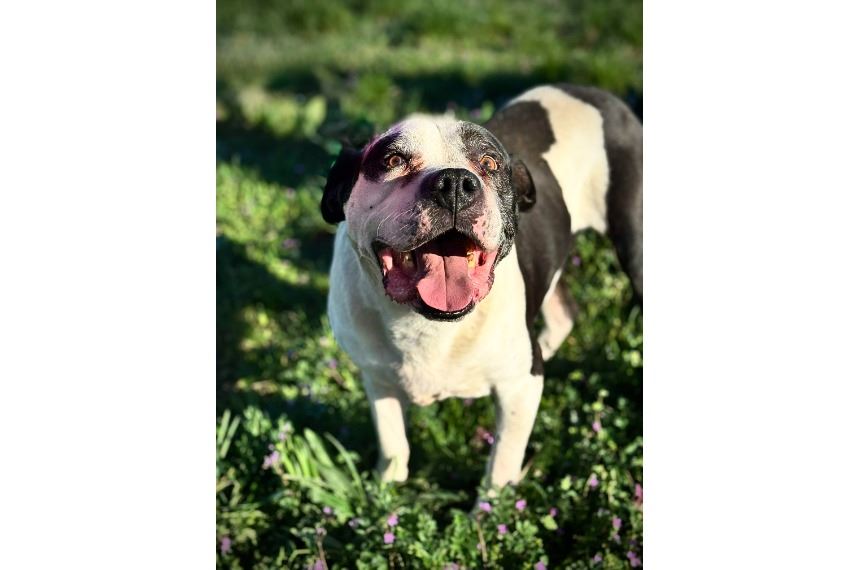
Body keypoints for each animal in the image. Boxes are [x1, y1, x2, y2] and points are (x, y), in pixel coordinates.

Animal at [320, 84, 642, 488]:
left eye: (489, 163)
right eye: (393, 159)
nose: (455, 183)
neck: (427, 325)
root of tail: (600, 94)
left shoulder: (519, 388)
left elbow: (501, 464)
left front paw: (490, 505)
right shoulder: (378, 380)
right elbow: (394, 447)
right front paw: (383, 494)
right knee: (564, 312)